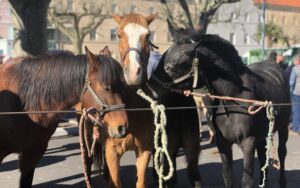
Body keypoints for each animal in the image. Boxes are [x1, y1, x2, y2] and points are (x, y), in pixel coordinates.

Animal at [145, 25, 290, 188]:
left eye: (171, 66)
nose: (150, 88)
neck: (233, 98)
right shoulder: (223, 143)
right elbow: (228, 176)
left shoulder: (248, 142)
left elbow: (246, 180)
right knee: (263, 156)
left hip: (283, 128)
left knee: (282, 152)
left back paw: (282, 181)